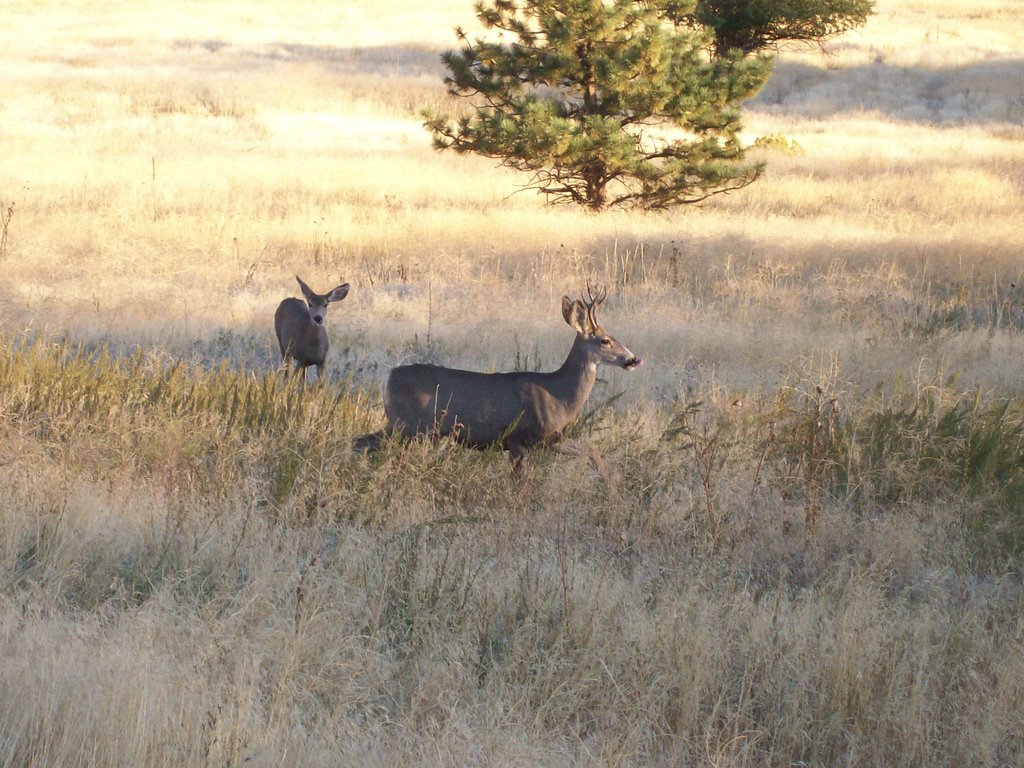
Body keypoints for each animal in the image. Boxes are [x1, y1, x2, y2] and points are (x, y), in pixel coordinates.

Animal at [352, 282, 638, 462]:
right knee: (359, 442)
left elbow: (593, 452)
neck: (559, 397)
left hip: (406, 427)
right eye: (604, 340)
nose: (633, 359)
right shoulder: (520, 439)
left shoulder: (550, 440)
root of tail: (387, 377)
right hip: (407, 424)